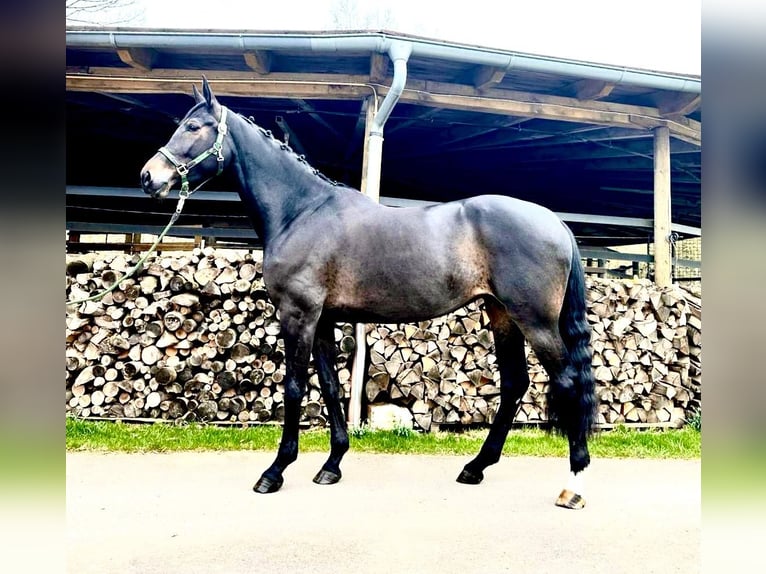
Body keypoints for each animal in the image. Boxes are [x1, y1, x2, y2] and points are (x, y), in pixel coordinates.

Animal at [142, 79, 600, 510]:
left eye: (194, 127)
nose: (149, 177)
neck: (301, 211)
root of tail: (555, 222)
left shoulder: (298, 314)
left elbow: (294, 387)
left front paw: (275, 472)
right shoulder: (322, 319)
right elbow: (330, 388)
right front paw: (331, 466)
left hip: (535, 320)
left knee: (567, 380)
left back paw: (574, 484)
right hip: (502, 314)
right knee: (514, 384)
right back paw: (475, 467)